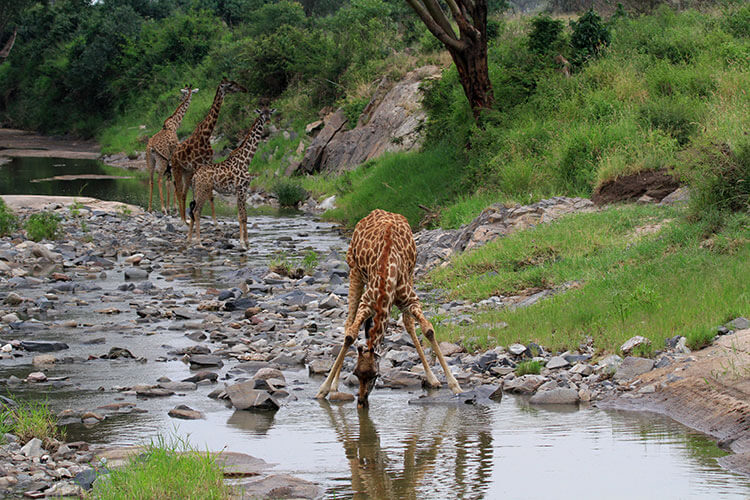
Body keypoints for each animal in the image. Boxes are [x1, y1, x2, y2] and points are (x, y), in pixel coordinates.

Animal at [147, 84, 198, 213]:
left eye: (183, 93)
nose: (181, 98)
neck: (174, 124)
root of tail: (151, 147)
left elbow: (169, 182)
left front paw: (171, 207)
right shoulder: (174, 157)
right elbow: (174, 182)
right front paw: (174, 207)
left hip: (150, 161)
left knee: (151, 180)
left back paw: (150, 208)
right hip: (162, 161)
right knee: (159, 180)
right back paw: (163, 209)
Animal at [170, 76, 247, 223]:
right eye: (230, 85)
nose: (244, 88)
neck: (206, 135)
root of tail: (174, 153)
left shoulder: (207, 164)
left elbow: (210, 195)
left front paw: (215, 220)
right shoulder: (197, 165)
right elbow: (200, 194)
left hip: (187, 171)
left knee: (183, 192)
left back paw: (185, 218)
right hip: (178, 168)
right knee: (178, 190)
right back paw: (182, 219)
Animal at [188, 107, 276, 248]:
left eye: (270, 113)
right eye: (262, 114)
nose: (268, 121)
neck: (246, 160)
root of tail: (195, 176)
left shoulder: (241, 190)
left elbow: (242, 216)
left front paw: (246, 242)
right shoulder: (241, 189)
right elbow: (243, 216)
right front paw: (243, 243)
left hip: (196, 191)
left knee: (192, 212)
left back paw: (189, 240)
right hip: (203, 190)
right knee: (197, 211)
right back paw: (199, 242)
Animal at [314, 209, 462, 408]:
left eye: (375, 375)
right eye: (355, 373)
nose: (361, 401)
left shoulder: (411, 300)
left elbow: (428, 329)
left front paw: (454, 385)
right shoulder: (367, 303)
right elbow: (350, 335)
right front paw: (323, 389)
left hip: (411, 274)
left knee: (407, 323)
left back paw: (432, 378)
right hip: (354, 272)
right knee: (348, 322)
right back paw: (334, 385)